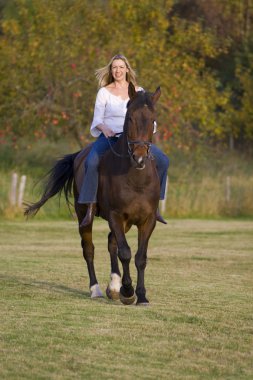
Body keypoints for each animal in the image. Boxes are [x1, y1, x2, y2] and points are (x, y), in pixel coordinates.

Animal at [24, 84, 161, 306]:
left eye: (152, 119)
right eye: (130, 117)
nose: (139, 157)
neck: (136, 179)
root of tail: (79, 156)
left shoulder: (147, 220)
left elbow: (140, 257)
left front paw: (140, 295)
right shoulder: (115, 216)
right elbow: (125, 252)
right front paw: (128, 291)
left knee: (111, 243)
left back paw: (113, 287)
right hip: (84, 216)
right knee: (89, 249)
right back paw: (96, 289)